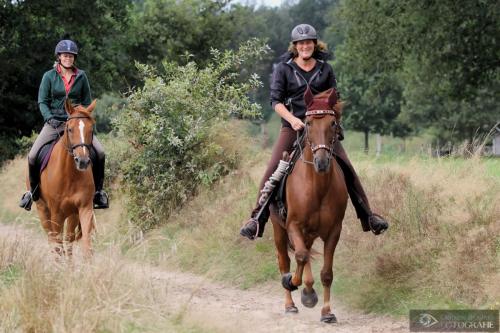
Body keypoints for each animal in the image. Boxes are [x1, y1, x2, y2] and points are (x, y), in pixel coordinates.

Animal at [29, 98, 96, 256]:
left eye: (91, 130)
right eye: (70, 129)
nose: (82, 161)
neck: (70, 175)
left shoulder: (84, 208)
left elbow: (85, 246)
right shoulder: (56, 215)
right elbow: (58, 246)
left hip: (71, 215)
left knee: (67, 241)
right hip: (43, 210)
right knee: (53, 242)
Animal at [270, 87, 348, 322]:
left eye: (332, 123)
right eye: (308, 123)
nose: (321, 162)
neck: (317, 187)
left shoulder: (333, 230)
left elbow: (326, 273)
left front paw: (327, 312)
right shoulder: (293, 225)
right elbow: (300, 256)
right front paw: (292, 283)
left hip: (310, 232)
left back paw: (308, 292)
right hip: (279, 229)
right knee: (286, 260)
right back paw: (290, 303)